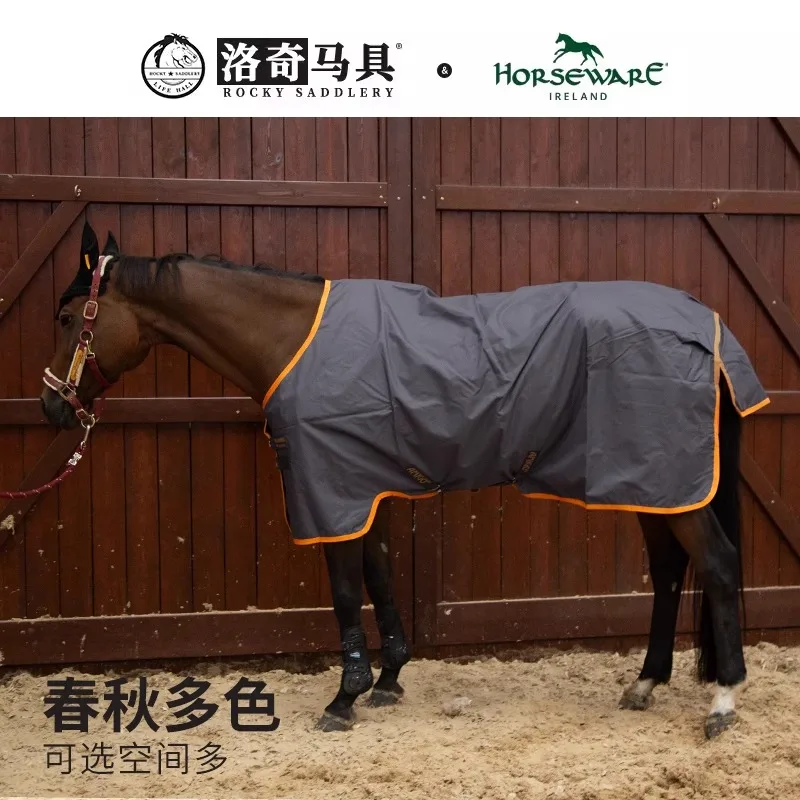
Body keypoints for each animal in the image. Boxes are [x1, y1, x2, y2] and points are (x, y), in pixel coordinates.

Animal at [41, 221, 769, 738]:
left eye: (65, 318)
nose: (52, 405)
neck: (295, 340)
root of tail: (707, 325)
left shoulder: (328, 489)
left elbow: (344, 590)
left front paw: (344, 698)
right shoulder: (361, 488)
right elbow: (381, 573)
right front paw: (387, 678)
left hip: (670, 484)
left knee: (718, 565)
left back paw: (724, 700)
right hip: (655, 482)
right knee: (671, 572)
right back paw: (645, 683)